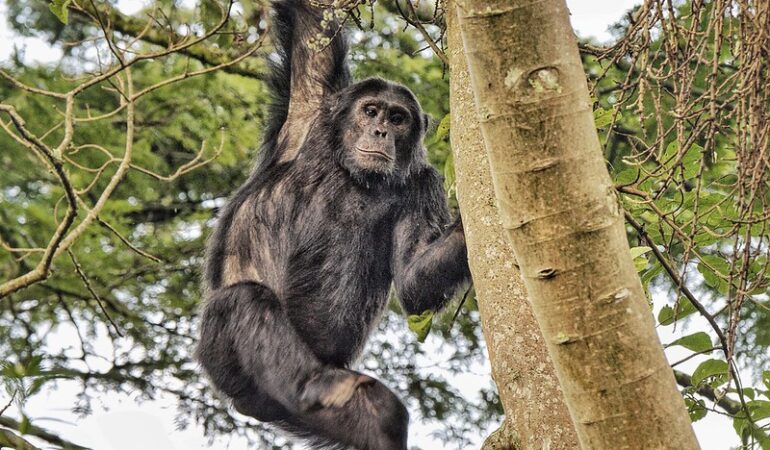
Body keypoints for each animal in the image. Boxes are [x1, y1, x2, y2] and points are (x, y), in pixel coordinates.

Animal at [195, 1, 471, 449]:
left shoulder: (424, 186)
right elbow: (312, 25)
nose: (380, 130)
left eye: (398, 118)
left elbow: (413, 278)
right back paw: (314, 382)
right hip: (220, 354)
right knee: (245, 301)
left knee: (383, 417)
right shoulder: (312, 102)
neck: (355, 174)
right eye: (371, 110)